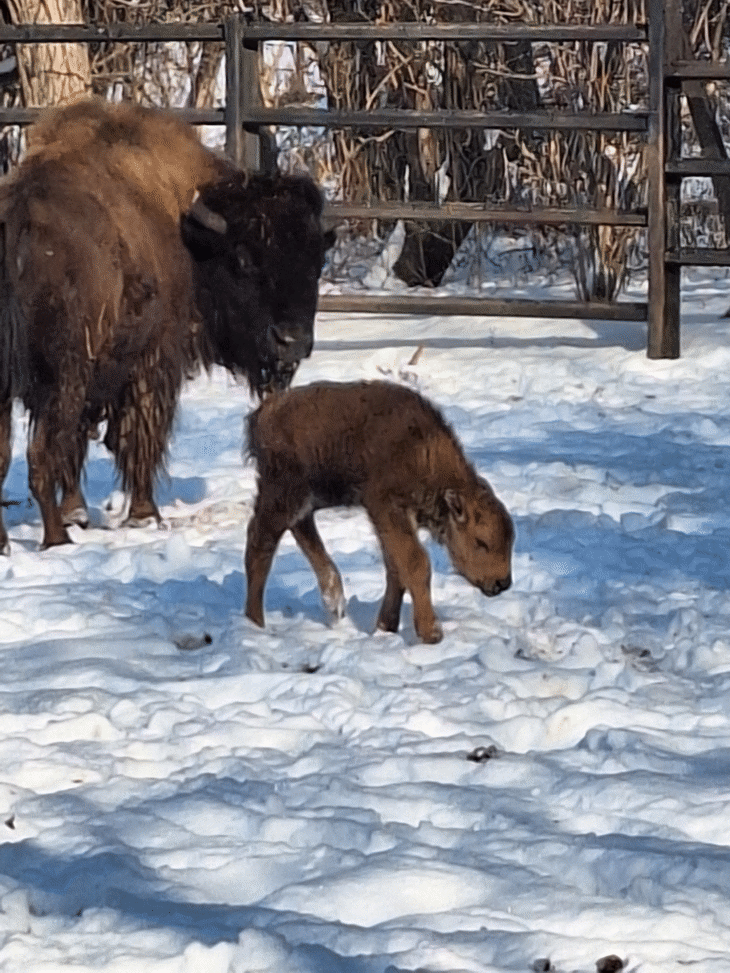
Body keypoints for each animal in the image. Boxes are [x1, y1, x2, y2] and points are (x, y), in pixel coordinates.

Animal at [0, 99, 332, 556]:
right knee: (42, 454)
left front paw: (80, 513)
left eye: (317, 261)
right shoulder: (152, 362)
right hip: (62, 378)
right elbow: (137, 437)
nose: (292, 341)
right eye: (244, 259)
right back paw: (56, 540)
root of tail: (19, 224)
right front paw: (144, 516)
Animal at [245, 382, 512, 644]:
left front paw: (386, 627)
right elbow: (416, 563)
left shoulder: (392, 521)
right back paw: (255, 623)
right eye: (481, 542)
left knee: (301, 532)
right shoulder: (388, 509)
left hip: (308, 498)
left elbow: (396, 568)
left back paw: (334, 602)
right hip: (284, 494)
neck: (422, 450)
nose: (502, 583)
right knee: (261, 544)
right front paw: (432, 633)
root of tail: (264, 413)